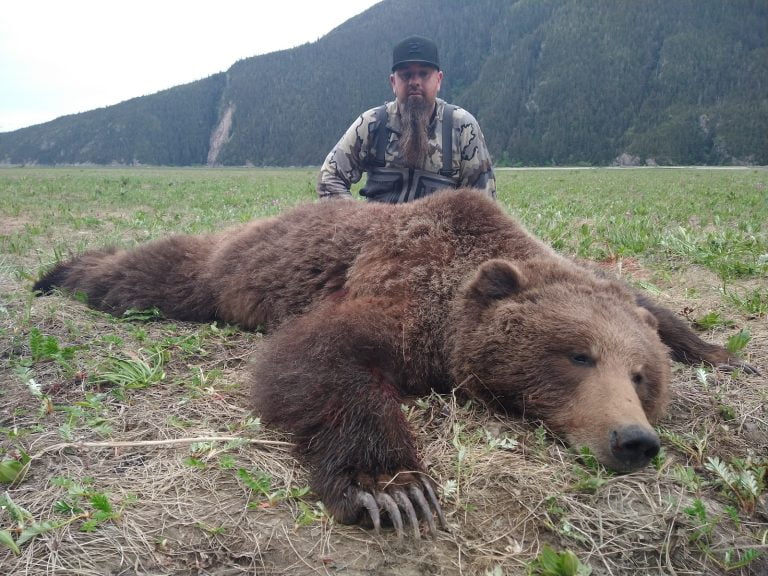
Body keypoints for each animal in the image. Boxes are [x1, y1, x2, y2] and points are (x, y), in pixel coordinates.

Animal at [33, 189, 756, 538]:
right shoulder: (403, 297)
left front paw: (716, 348)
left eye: (641, 376)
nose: (633, 439)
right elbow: (317, 357)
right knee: (153, 274)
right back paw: (58, 271)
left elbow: (647, 300)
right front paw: (392, 489)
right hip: (226, 270)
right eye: (578, 355)